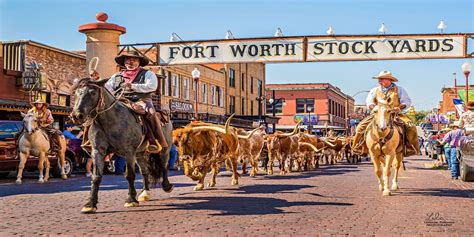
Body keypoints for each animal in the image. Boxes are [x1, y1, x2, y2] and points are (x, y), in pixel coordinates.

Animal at [71, 78, 173, 213]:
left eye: (92, 92)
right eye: (76, 93)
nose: (77, 115)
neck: (110, 121)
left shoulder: (129, 152)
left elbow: (130, 175)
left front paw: (131, 200)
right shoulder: (98, 151)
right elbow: (96, 176)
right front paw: (90, 204)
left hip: (164, 149)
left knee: (164, 166)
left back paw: (167, 186)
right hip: (140, 154)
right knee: (145, 171)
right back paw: (145, 193)